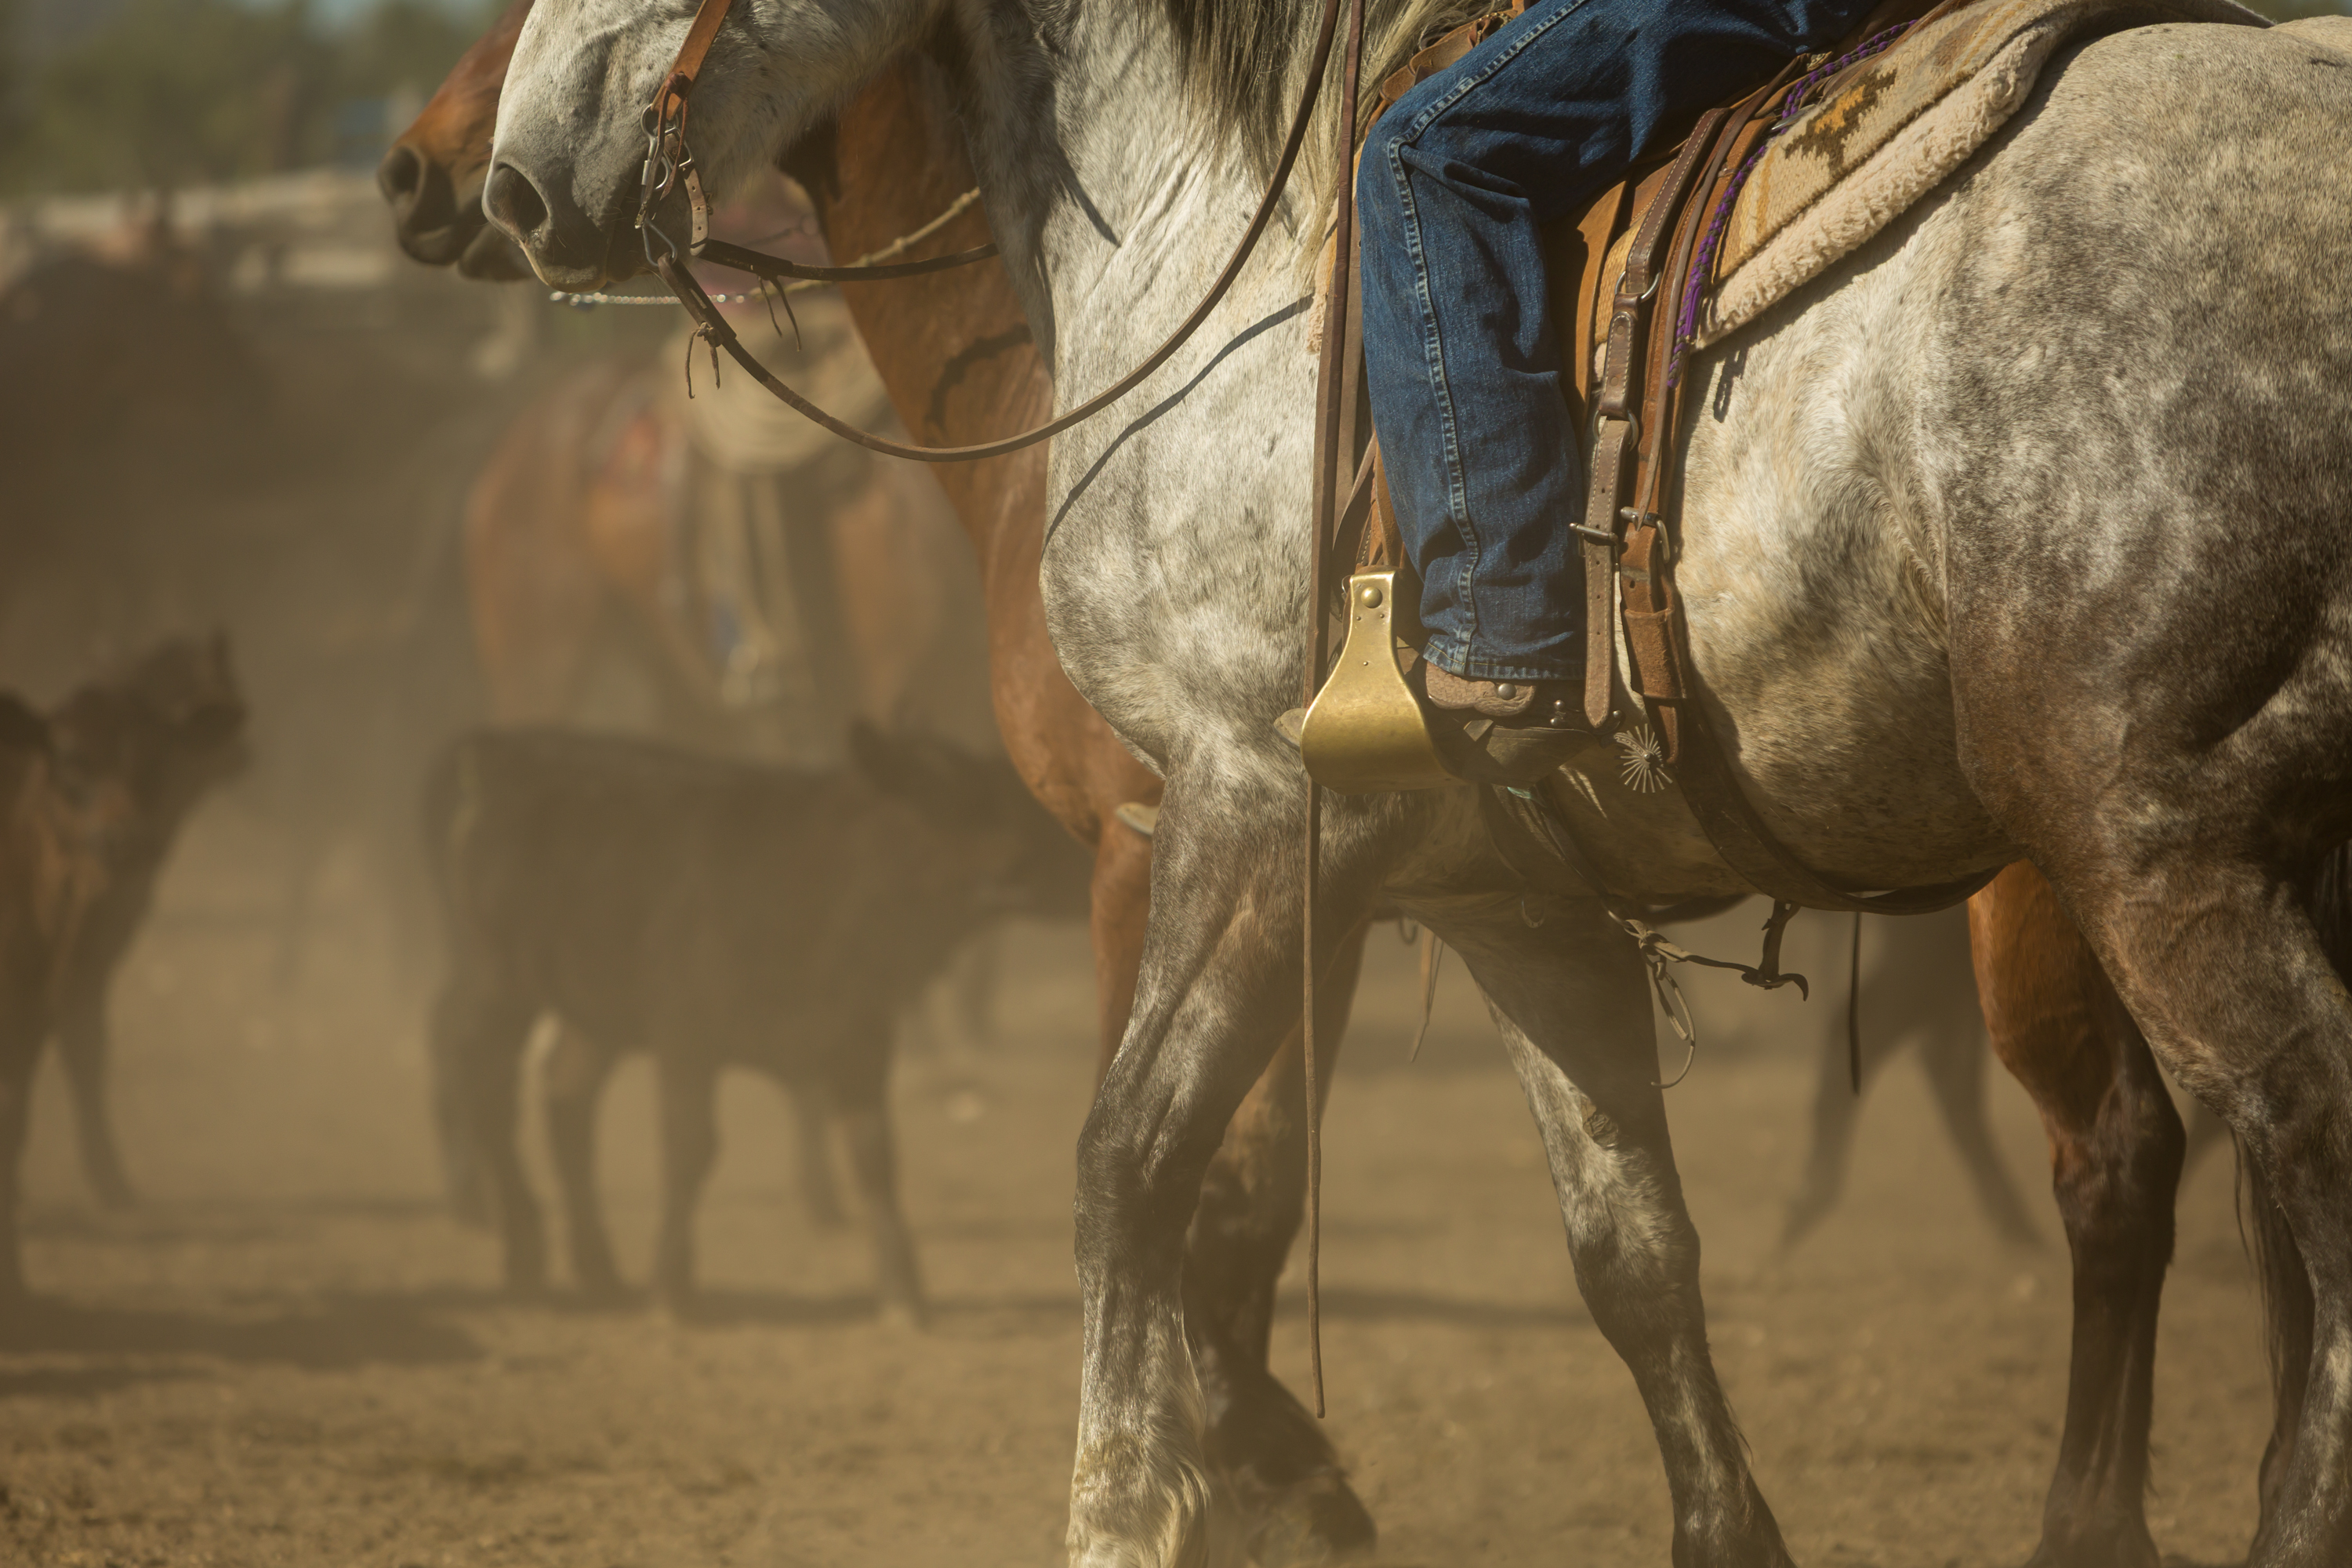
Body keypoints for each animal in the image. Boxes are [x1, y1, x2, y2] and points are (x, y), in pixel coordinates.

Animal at [423, 724, 1091, 1323]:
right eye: (962, 794)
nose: (1083, 856)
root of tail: (497, 751)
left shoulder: (859, 1037)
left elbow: (874, 1151)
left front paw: (904, 1294)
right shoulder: (686, 1035)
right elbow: (690, 1147)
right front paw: (670, 1290)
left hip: (592, 1013)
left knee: (568, 1098)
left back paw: (599, 1269)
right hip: (498, 982)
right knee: (485, 1084)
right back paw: (526, 1254)